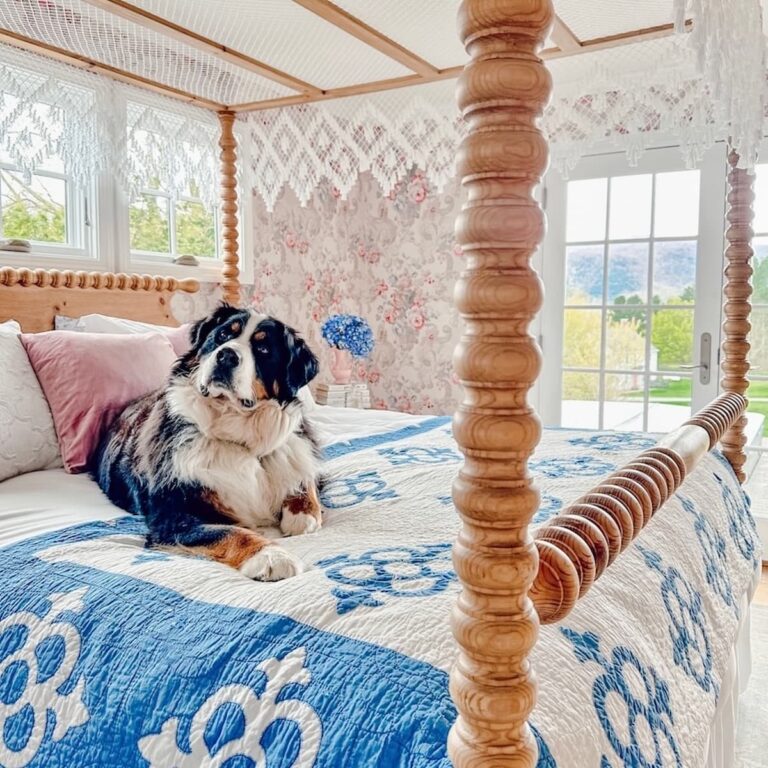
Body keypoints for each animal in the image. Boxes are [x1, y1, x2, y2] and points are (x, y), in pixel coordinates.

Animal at [94, 304, 320, 580]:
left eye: (263, 349)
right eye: (222, 335)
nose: (226, 356)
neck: (238, 434)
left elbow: (305, 478)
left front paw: (303, 514)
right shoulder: (175, 517)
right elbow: (231, 533)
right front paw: (271, 556)